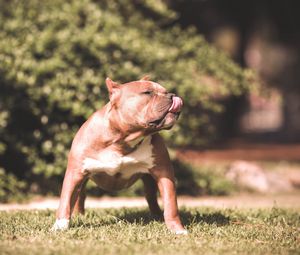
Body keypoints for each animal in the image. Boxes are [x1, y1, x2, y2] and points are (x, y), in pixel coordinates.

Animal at [52, 76, 188, 234]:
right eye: (147, 92)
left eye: (165, 91)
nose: (172, 95)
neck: (122, 140)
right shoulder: (75, 173)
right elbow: (65, 201)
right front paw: (59, 226)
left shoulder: (164, 173)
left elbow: (171, 204)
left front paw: (177, 229)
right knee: (80, 196)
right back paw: (79, 215)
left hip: (149, 180)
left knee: (151, 198)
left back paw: (158, 216)